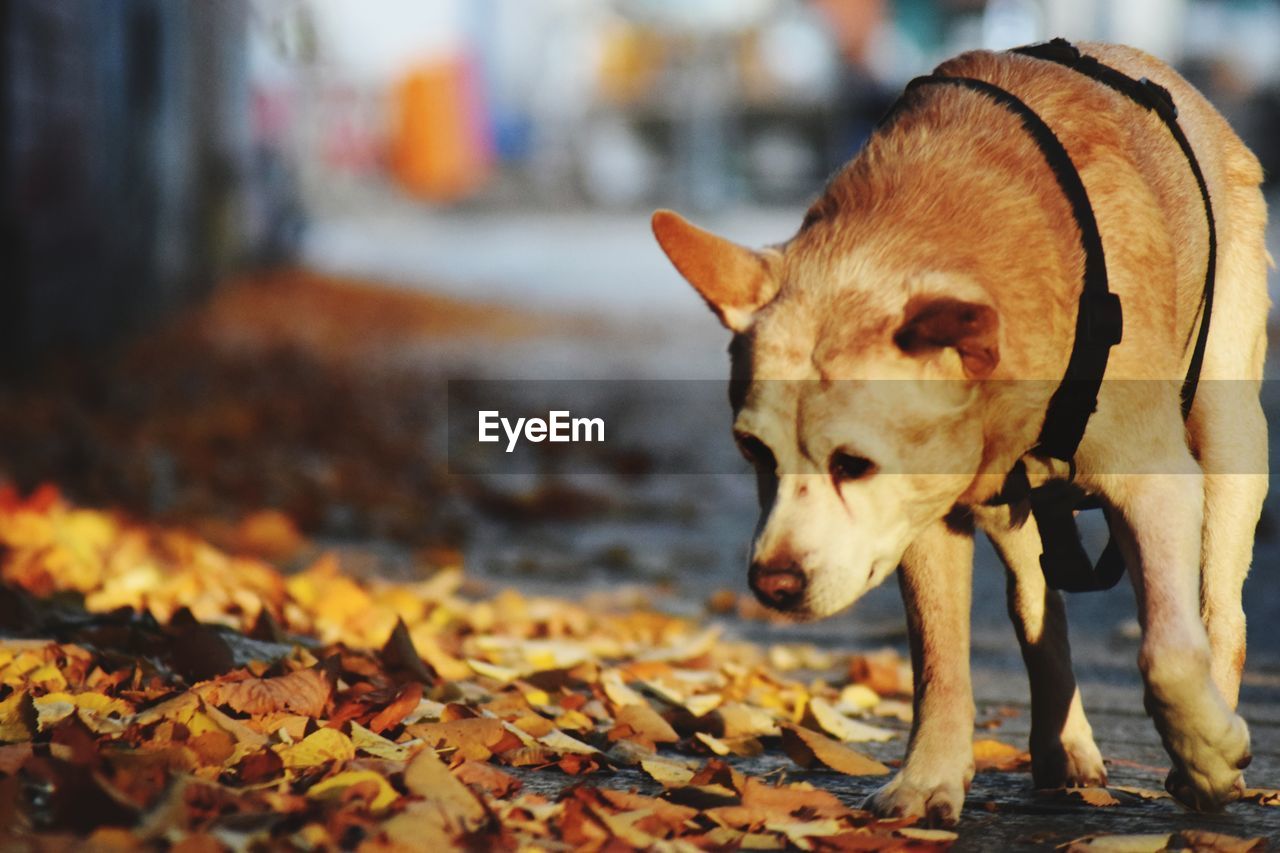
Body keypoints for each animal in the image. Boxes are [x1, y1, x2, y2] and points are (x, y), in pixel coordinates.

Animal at [655, 43, 1274, 819]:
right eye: (752, 451)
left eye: (854, 464)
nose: (773, 583)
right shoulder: (924, 509)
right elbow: (940, 659)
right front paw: (929, 778)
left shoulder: (1154, 480)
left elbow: (1166, 649)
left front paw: (1206, 753)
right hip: (1010, 505)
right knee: (1034, 603)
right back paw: (1063, 746)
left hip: (1227, 433)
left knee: (1221, 608)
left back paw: (1212, 740)